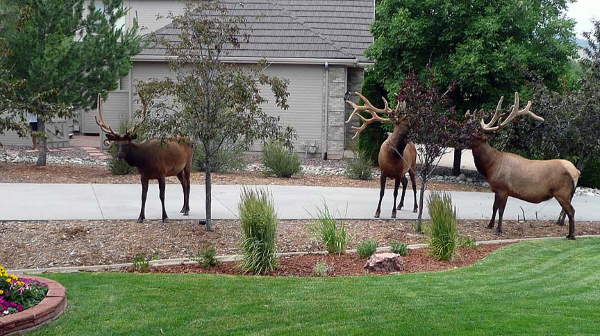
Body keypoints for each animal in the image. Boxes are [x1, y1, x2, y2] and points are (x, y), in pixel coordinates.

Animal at [95, 94, 192, 223]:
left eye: (127, 143)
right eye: (117, 144)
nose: (119, 155)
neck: (144, 161)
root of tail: (190, 139)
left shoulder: (162, 173)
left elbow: (162, 196)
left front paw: (165, 217)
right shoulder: (143, 176)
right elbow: (143, 196)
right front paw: (140, 217)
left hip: (188, 163)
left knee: (188, 184)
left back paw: (187, 210)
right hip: (178, 170)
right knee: (184, 184)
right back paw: (183, 208)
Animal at [466, 92, 580, 239]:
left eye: (474, 134)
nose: (459, 138)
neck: (491, 166)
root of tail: (576, 172)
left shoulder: (504, 189)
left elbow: (501, 210)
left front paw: (499, 230)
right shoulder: (496, 189)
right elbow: (494, 207)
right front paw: (489, 225)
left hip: (562, 192)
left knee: (571, 211)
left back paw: (571, 235)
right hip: (567, 194)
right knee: (568, 211)